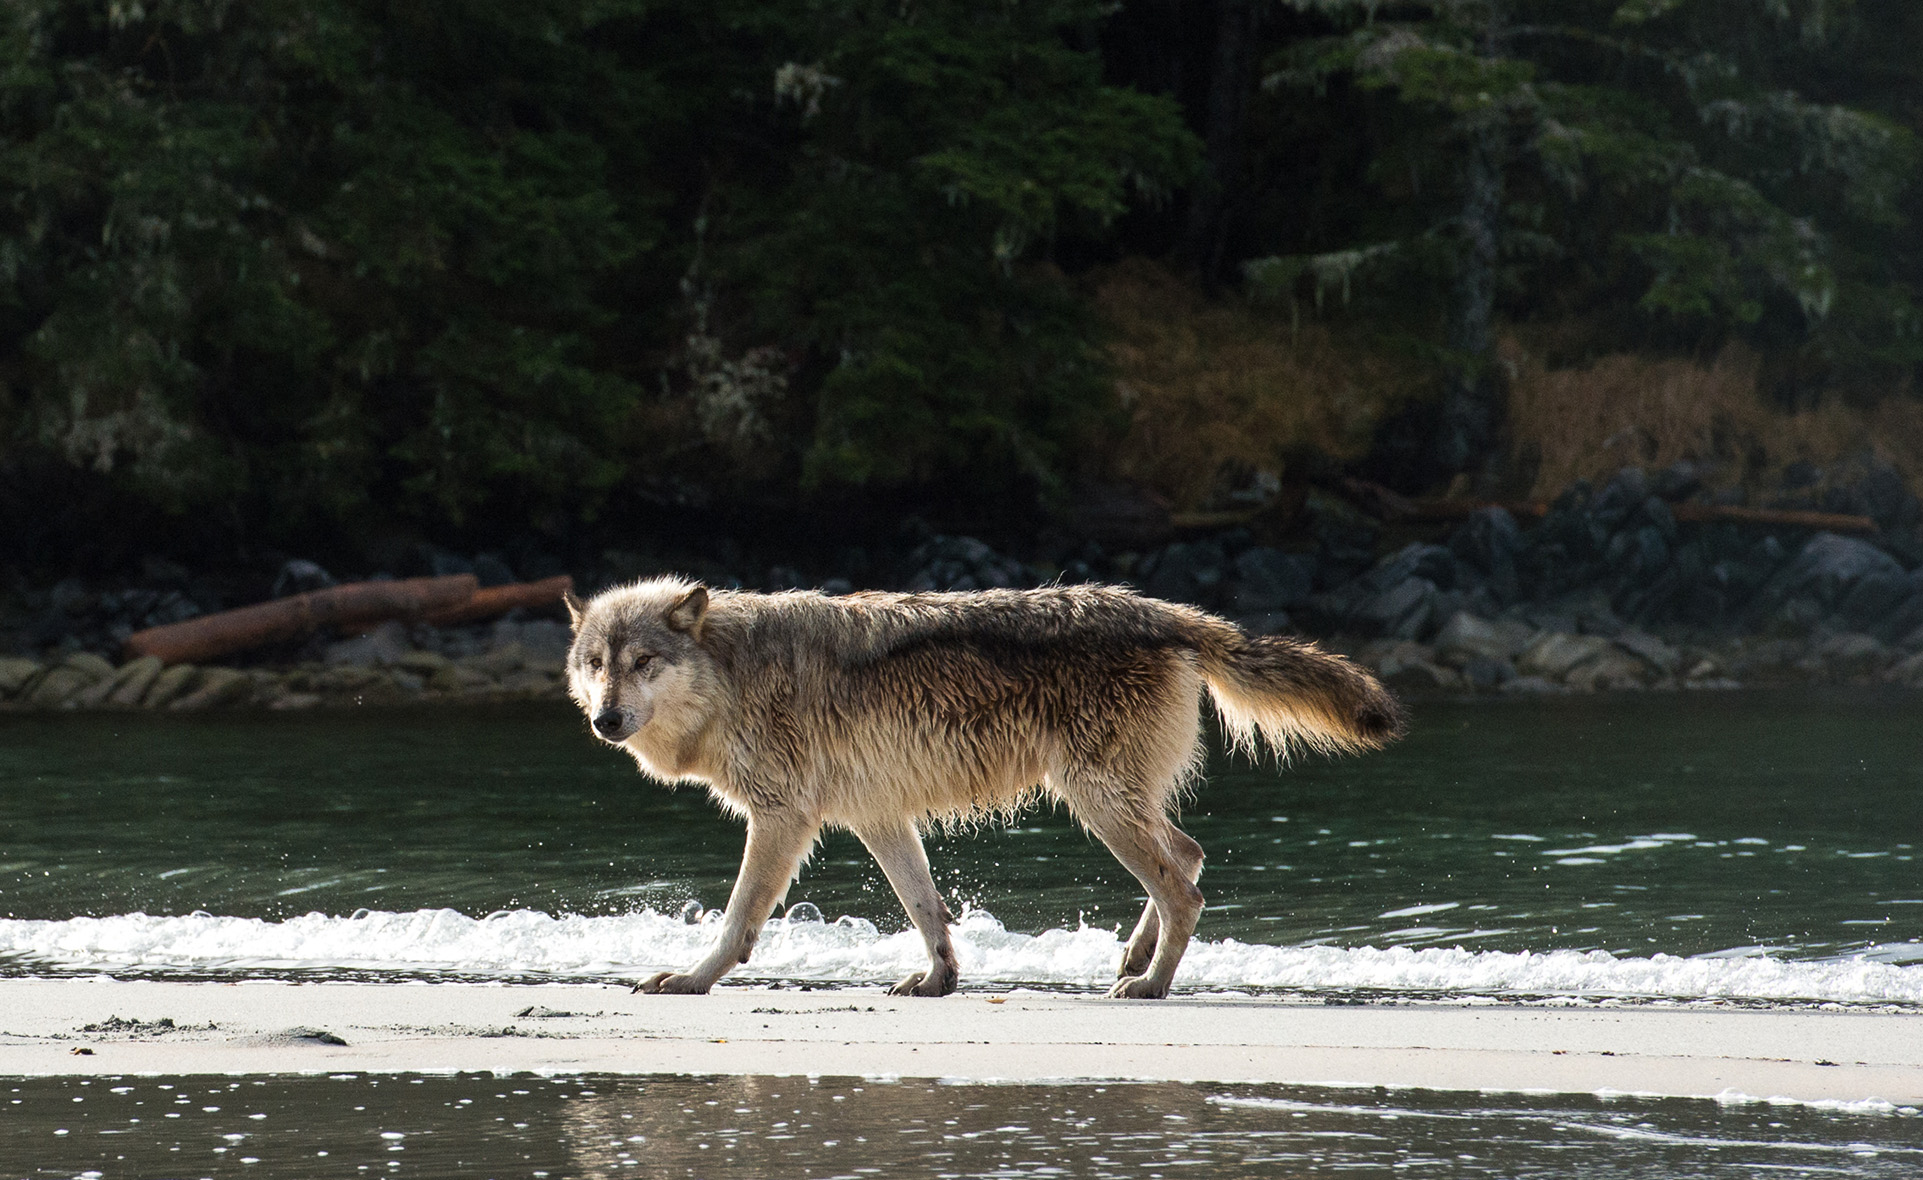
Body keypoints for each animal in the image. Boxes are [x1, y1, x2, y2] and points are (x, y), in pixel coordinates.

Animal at [565, 577, 1401, 999]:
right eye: (595, 664)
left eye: (642, 662)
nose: (605, 720)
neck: (732, 673)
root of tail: (1165, 611)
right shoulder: (876, 816)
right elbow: (926, 908)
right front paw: (939, 979)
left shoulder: (782, 820)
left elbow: (738, 920)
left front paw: (691, 980)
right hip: (1112, 800)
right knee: (1189, 856)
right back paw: (1134, 962)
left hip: (1094, 801)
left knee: (1184, 888)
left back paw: (1151, 986)